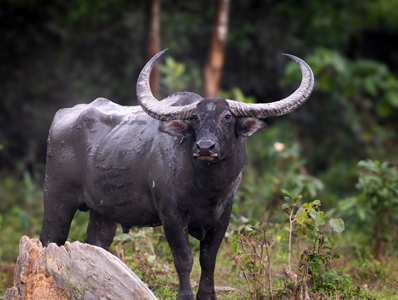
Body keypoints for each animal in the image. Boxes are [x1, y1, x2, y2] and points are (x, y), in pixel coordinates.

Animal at [40, 50, 314, 298]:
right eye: (195, 118)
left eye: (227, 116)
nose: (205, 147)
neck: (206, 189)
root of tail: (61, 117)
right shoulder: (170, 214)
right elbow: (184, 258)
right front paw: (185, 295)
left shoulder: (223, 216)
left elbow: (209, 259)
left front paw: (207, 295)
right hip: (56, 198)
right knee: (49, 239)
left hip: (103, 213)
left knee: (96, 246)